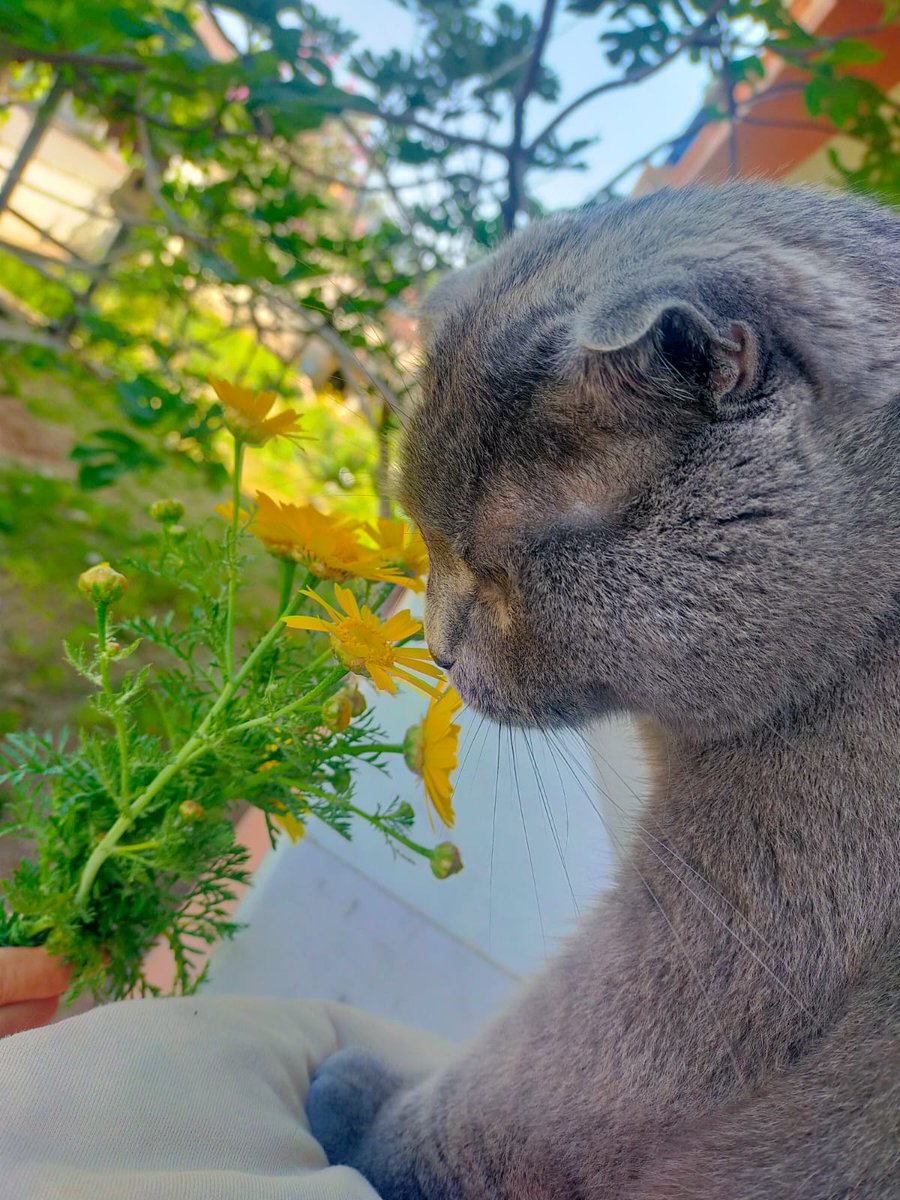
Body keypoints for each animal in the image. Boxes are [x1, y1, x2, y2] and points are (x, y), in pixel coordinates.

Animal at [307, 184, 897, 1200]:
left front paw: (365, 1123)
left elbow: (544, 1080)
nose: (439, 646)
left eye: (495, 566)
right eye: (424, 536)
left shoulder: (746, 908)